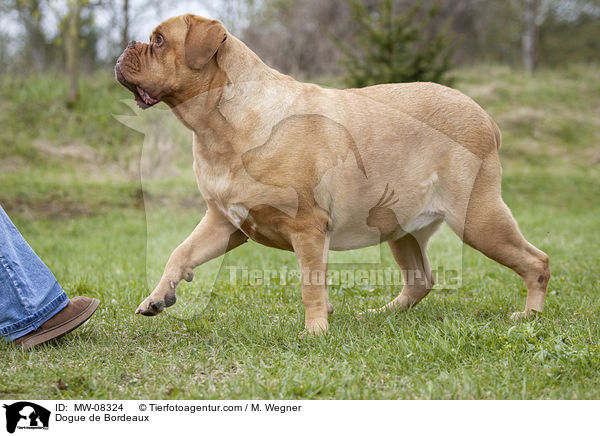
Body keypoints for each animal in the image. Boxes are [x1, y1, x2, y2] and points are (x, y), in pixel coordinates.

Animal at [115, 12, 552, 334]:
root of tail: (485, 117)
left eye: (158, 41)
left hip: (478, 218)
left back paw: (529, 315)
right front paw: (157, 297)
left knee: (537, 262)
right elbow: (180, 252)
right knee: (420, 280)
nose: (124, 50)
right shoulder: (225, 221)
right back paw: (380, 314)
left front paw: (315, 330)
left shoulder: (307, 226)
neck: (218, 125)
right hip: (399, 225)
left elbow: (310, 283)